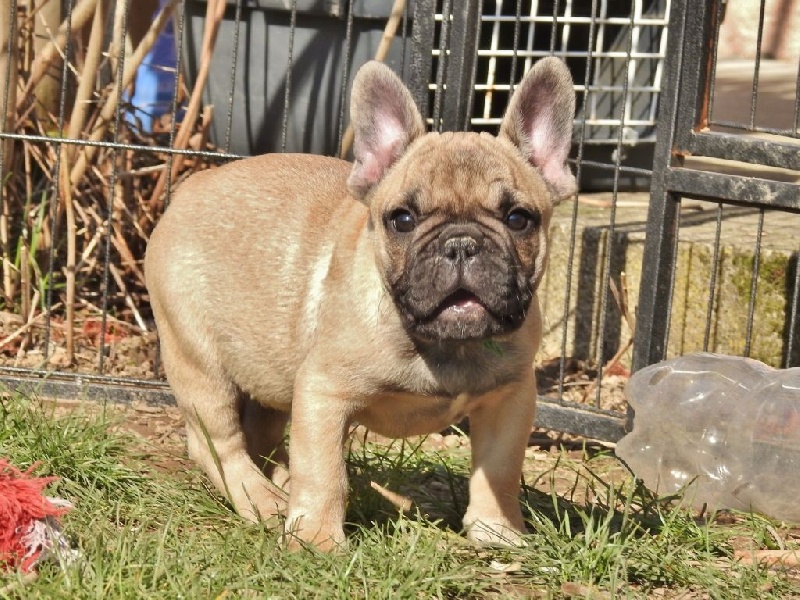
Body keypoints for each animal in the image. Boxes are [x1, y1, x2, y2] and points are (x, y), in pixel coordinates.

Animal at [145, 57, 576, 550]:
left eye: (519, 219)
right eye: (402, 220)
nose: (461, 244)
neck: (443, 345)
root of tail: (191, 185)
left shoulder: (510, 398)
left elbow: (499, 470)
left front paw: (497, 530)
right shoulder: (323, 392)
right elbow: (323, 471)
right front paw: (316, 540)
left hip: (270, 371)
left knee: (263, 436)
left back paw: (282, 489)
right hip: (197, 357)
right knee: (218, 443)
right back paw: (264, 502)